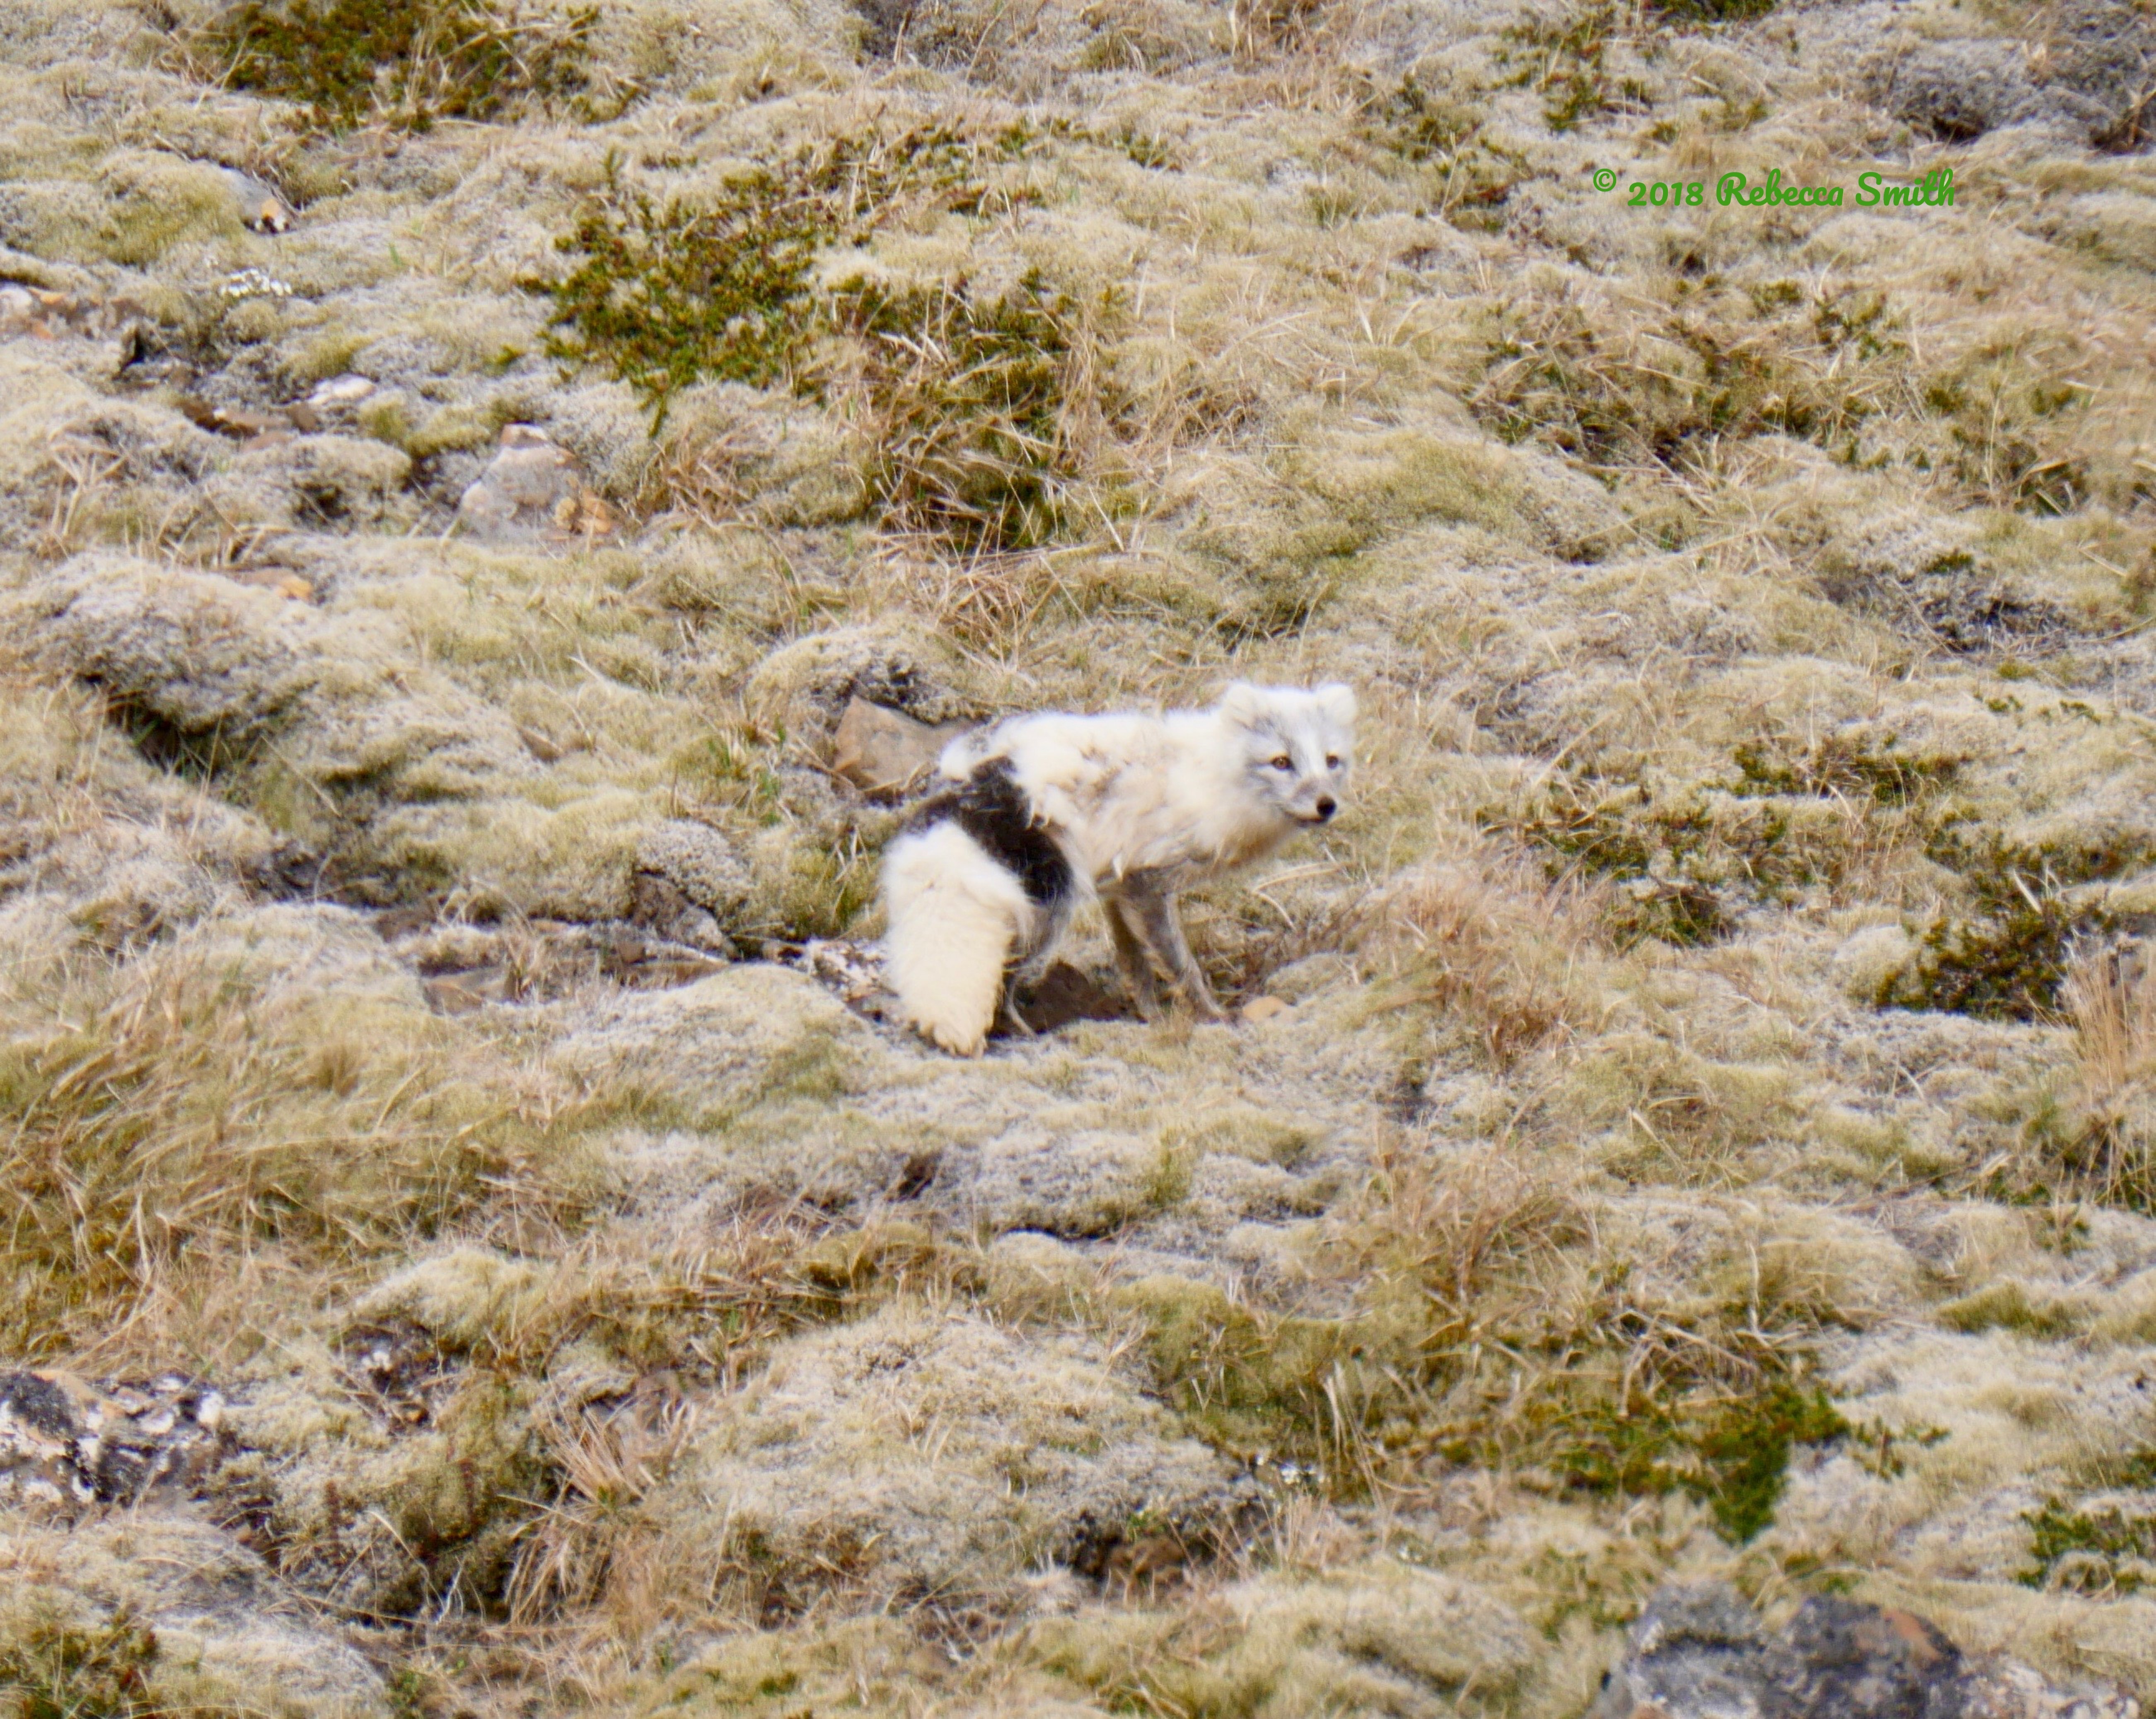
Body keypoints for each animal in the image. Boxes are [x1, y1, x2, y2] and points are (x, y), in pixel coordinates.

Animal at [881, 681, 1357, 1055]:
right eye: (1281, 762)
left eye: (1332, 760)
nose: (1326, 806)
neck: (1213, 778)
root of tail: (979, 781)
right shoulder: (1149, 883)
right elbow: (1181, 964)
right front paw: (1212, 1016)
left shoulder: (1119, 887)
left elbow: (1135, 963)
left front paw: (1151, 1018)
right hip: (1048, 904)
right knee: (1006, 974)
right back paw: (1021, 1034)